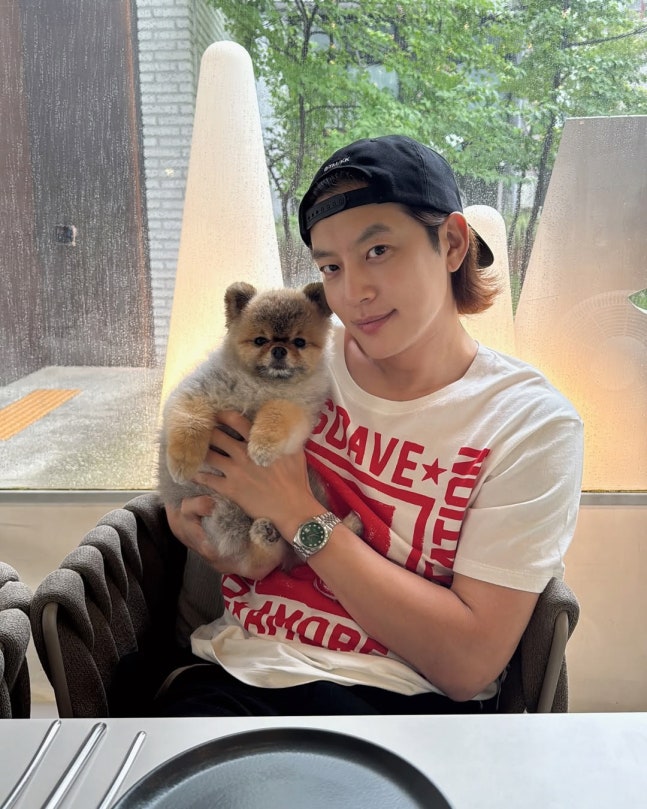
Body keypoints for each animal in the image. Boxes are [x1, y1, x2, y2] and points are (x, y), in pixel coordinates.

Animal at [158, 281, 352, 578]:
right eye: (260, 340)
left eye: (299, 342)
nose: (279, 349)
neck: (261, 385)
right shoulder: (197, 391)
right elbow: (190, 421)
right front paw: (182, 463)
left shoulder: (297, 408)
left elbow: (276, 414)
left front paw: (262, 446)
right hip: (224, 510)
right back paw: (267, 535)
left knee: (263, 561)